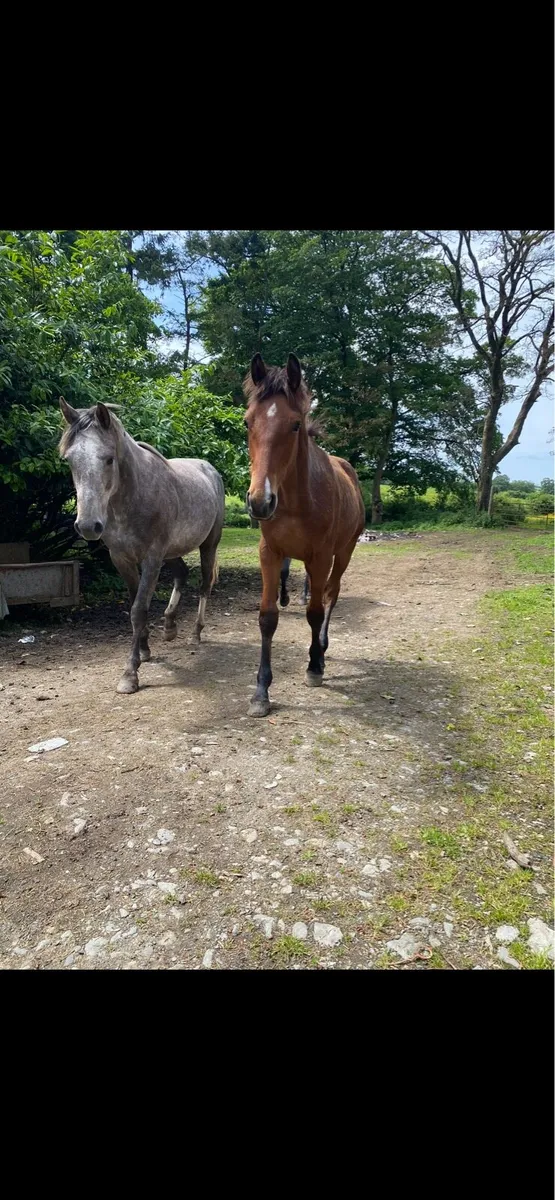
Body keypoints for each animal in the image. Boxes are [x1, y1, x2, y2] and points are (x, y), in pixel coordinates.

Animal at [59, 399, 224, 695]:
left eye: (109, 458)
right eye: (69, 460)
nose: (88, 526)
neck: (133, 496)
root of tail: (209, 469)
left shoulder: (151, 559)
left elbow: (139, 609)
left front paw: (130, 674)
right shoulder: (122, 559)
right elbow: (136, 604)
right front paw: (145, 650)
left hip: (208, 545)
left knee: (205, 584)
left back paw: (195, 633)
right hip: (172, 552)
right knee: (181, 574)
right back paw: (169, 626)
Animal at [244, 353, 365, 717]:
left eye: (295, 424)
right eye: (247, 422)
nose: (259, 501)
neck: (297, 499)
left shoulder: (321, 557)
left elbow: (314, 611)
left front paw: (313, 666)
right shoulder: (270, 552)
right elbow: (267, 617)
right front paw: (261, 692)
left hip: (344, 553)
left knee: (330, 596)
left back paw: (321, 652)